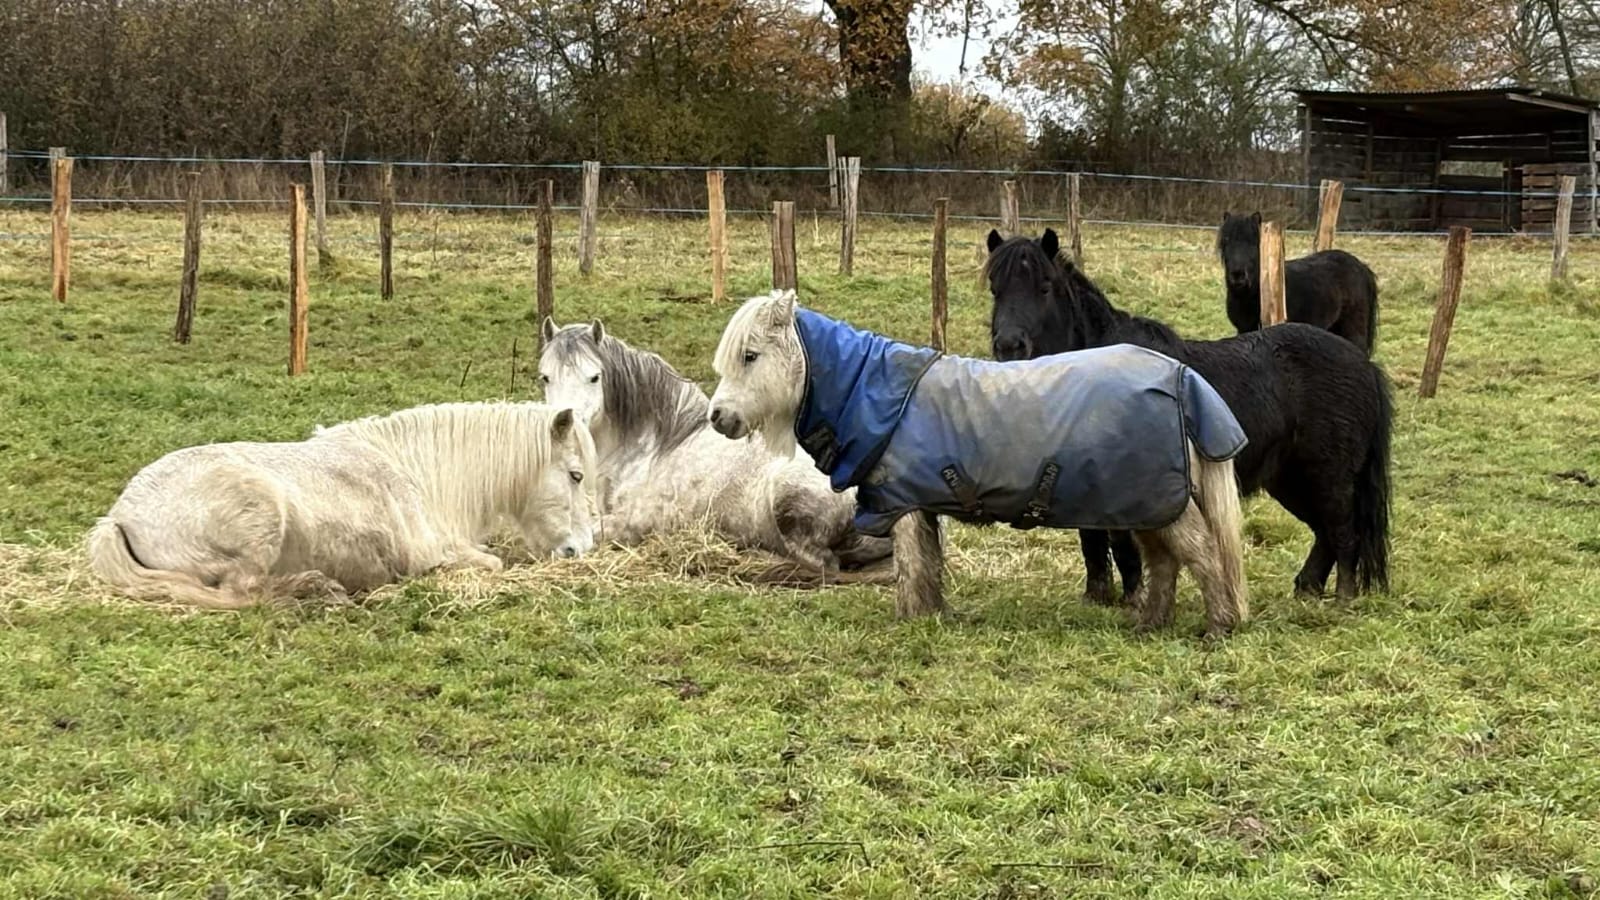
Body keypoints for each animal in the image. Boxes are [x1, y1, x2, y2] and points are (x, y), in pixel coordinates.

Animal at [86, 401, 598, 609]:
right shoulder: (437, 554)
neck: (417, 474)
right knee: (243, 593)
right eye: (576, 475)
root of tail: (119, 517)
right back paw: (317, 589)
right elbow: (491, 563)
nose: (582, 549)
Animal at [707, 289, 1252, 637]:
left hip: (1159, 502)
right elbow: (927, 565)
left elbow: (912, 567)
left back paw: (1219, 625)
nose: (718, 417)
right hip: (1147, 503)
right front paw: (931, 615)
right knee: (1165, 561)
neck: (877, 395)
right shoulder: (918, 506)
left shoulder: (903, 506)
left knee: (1203, 555)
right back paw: (1150, 623)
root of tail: (1182, 378)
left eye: (750, 356)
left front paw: (911, 619)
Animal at [987, 227, 1393, 604]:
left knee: (1343, 532)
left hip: (1328, 477)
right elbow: (1093, 544)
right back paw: (1307, 590)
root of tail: (1364, 365)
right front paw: (1097, 599)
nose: (1009, 346)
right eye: (995, 289)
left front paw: (1134, 601)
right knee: (1325, 532)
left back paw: (1342, 598)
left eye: (1044, 288)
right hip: (1290, 479)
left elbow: (1123, 548)